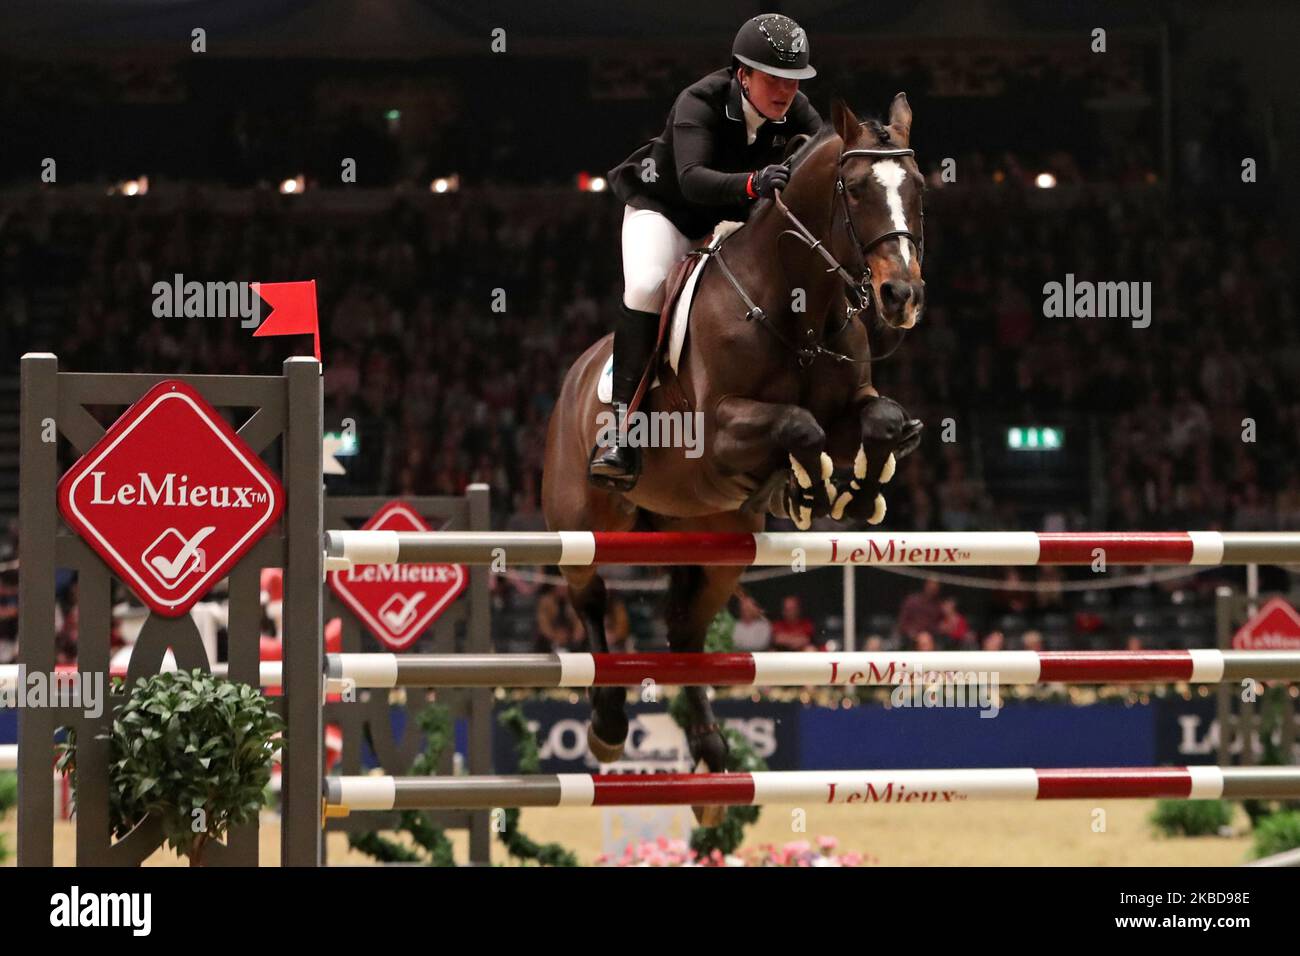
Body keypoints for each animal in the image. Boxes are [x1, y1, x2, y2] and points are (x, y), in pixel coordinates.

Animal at [543, 95, 930, 822]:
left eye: (919, 188)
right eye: (855, 189)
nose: (902, 298)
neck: (798, 305)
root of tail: (575, 376)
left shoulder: (853, 407)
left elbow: (879, 421)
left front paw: (853, 491)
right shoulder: (718, 438)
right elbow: (800, 426)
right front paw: (808, 487)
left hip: (717, 545)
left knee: (683, 632)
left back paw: (710, 758)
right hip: (585, 522)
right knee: (591, 597)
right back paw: (607, 725)